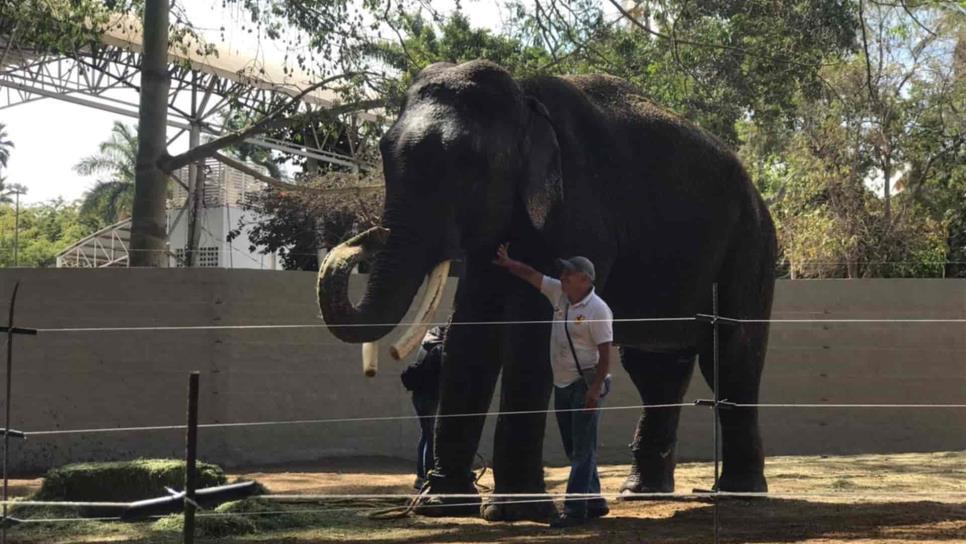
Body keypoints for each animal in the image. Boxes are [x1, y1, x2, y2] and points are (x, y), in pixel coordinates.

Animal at [318, 60, 780, 524]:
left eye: (466, 165)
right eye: (383, 150)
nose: (364, 239)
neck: (525, 101)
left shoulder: (577, 213)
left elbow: (532, 331)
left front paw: (512, 511)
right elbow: (472, 329)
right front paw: (443, 506)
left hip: (751, 247)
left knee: (731, 354)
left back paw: (739, 493)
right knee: (655, 368)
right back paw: (640, 493)